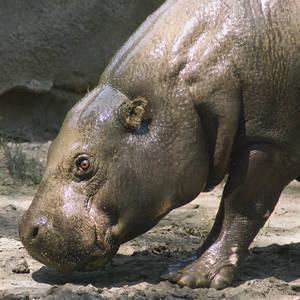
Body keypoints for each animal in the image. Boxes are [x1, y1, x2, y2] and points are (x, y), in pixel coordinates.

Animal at [19, 0, 298, 290]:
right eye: (48, 151)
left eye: (83, 164)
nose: (26, 232)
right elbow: (222, 213)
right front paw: (179, 268)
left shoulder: (270, 144)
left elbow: (240, 206)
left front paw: (193, 277)